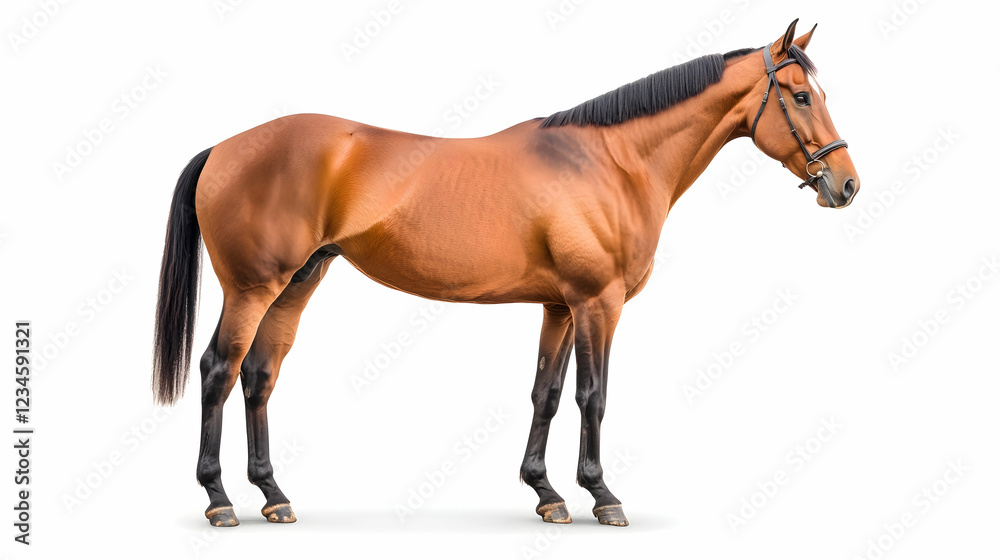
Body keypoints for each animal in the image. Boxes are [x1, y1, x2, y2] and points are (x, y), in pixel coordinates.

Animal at [152, 19, 859, 528]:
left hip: (297, 285)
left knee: (259, 375)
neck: (612, 160)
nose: (846, 184)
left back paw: (273, 495)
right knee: (218, 370)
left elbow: (547, 392)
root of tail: (224, 147)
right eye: (800, 96)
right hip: (253, 288)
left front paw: (547, 493)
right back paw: (219, 500)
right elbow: (593, 395)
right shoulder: (599, 303)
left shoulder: (560, 306)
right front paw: (602, 496)